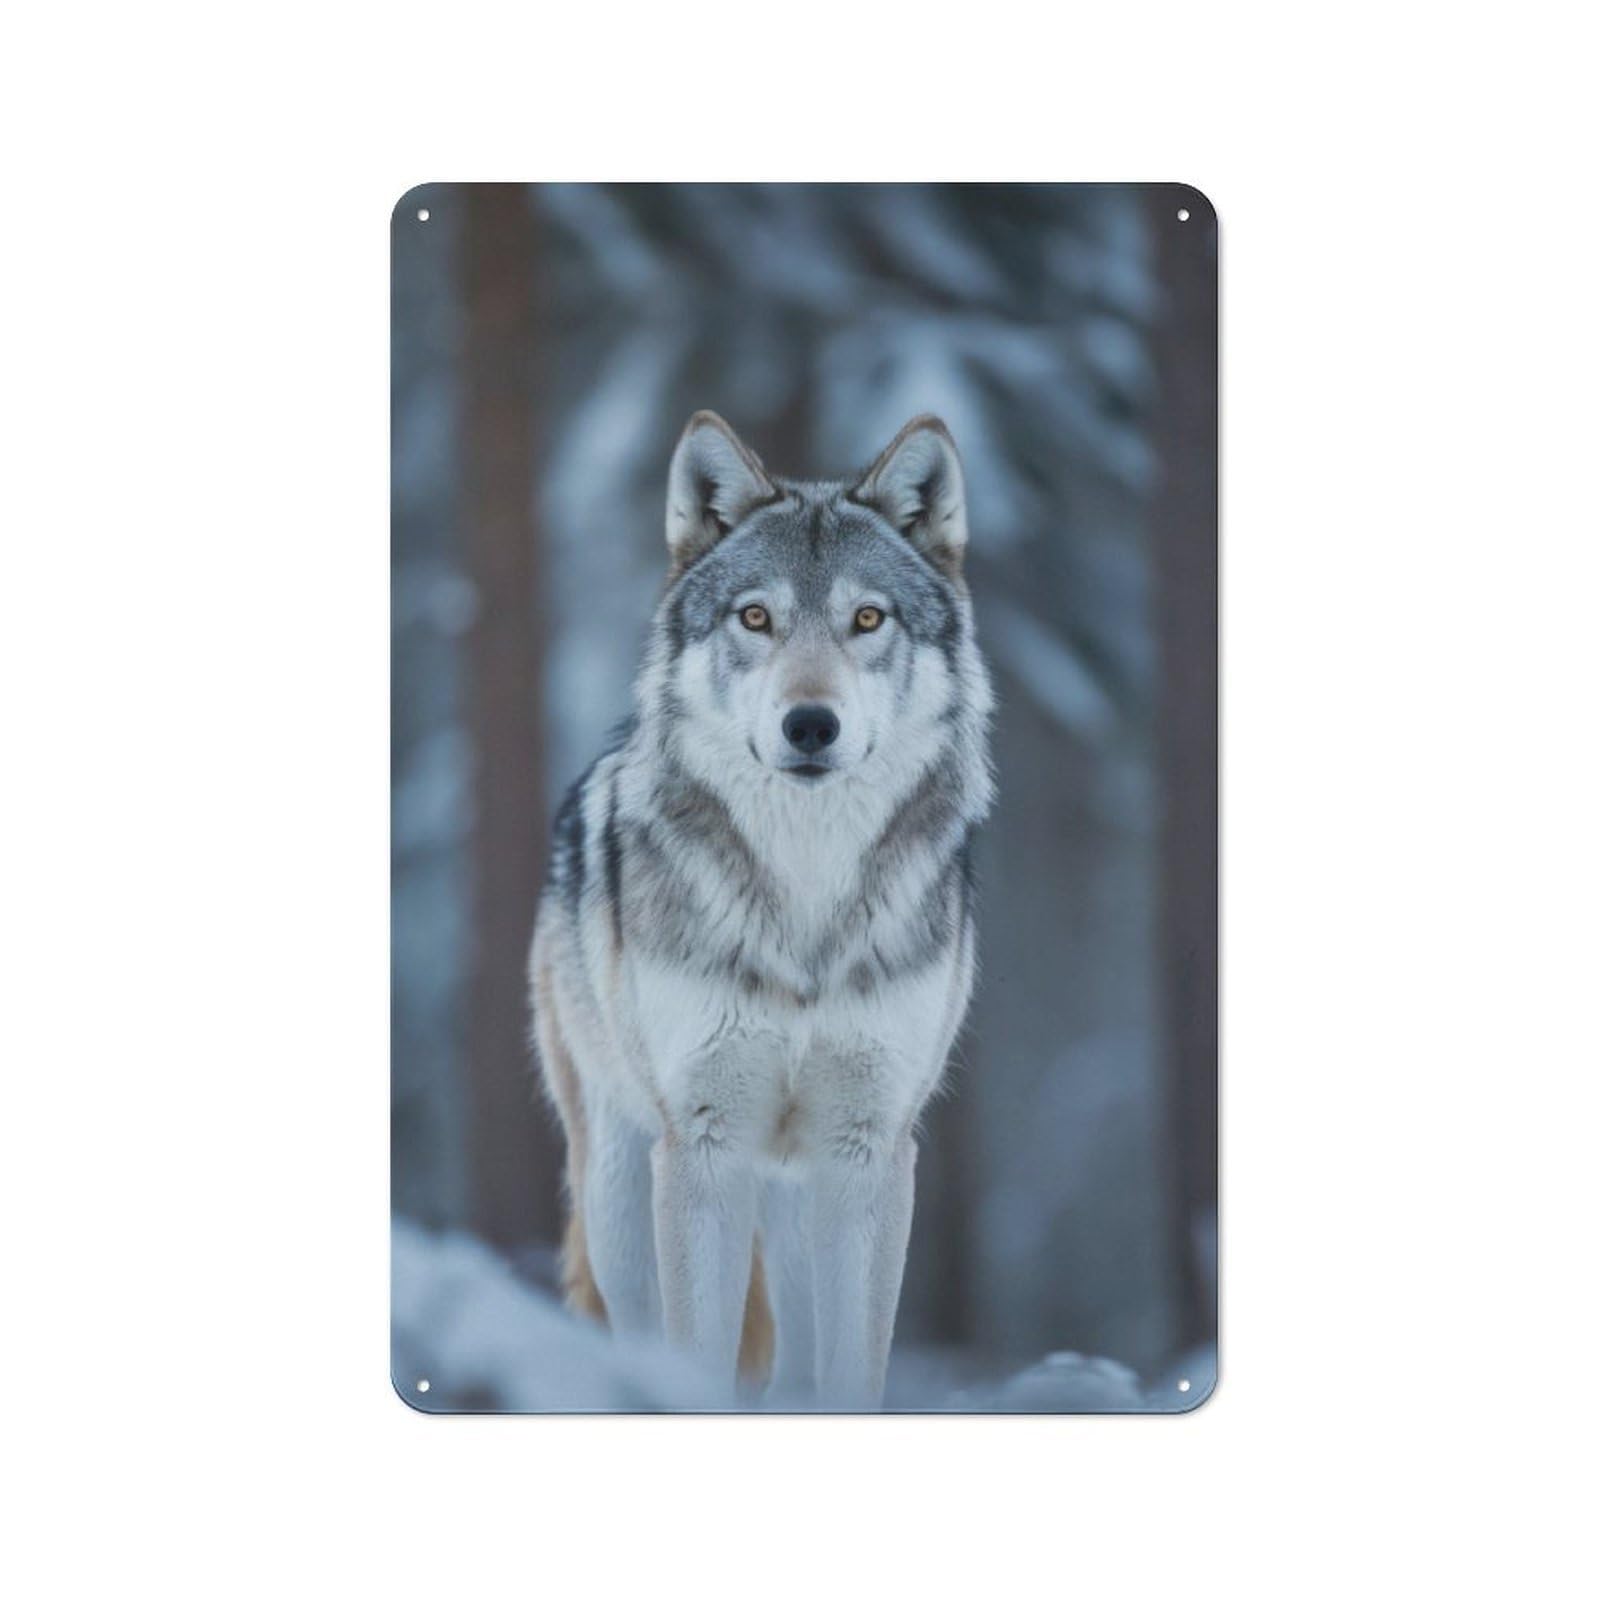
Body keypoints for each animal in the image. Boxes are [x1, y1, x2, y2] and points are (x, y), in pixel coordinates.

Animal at [529, 411, 994, 1409]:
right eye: (755, 617)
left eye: (867, 618)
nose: (809, 725)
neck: (806, 897)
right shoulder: (702, 1148)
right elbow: (694, 1363)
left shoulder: (868, 1152)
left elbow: (855, 1376)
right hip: (621, 1191)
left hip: (792, 1209)